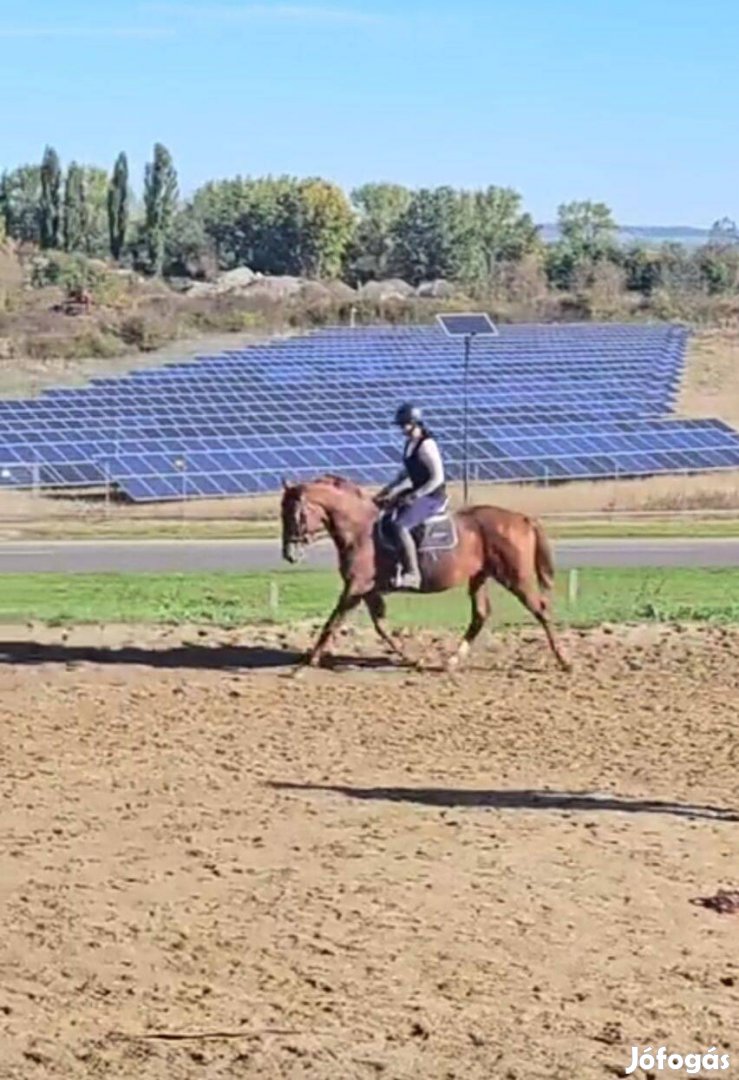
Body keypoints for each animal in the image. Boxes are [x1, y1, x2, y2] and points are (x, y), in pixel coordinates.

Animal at [280, 475, 574, 673]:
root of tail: (522, 519)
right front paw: (412, 658)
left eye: (294, 513)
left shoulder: (355, 588)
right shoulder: (368, 591)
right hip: (480, 577)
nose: (289, 554)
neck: (361, 530)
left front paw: (306, 663)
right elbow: (381, 626)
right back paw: (452, 660)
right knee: (480, 615)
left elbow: (332, 622)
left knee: (540, 610)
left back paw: (564, 660)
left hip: (516, 578)